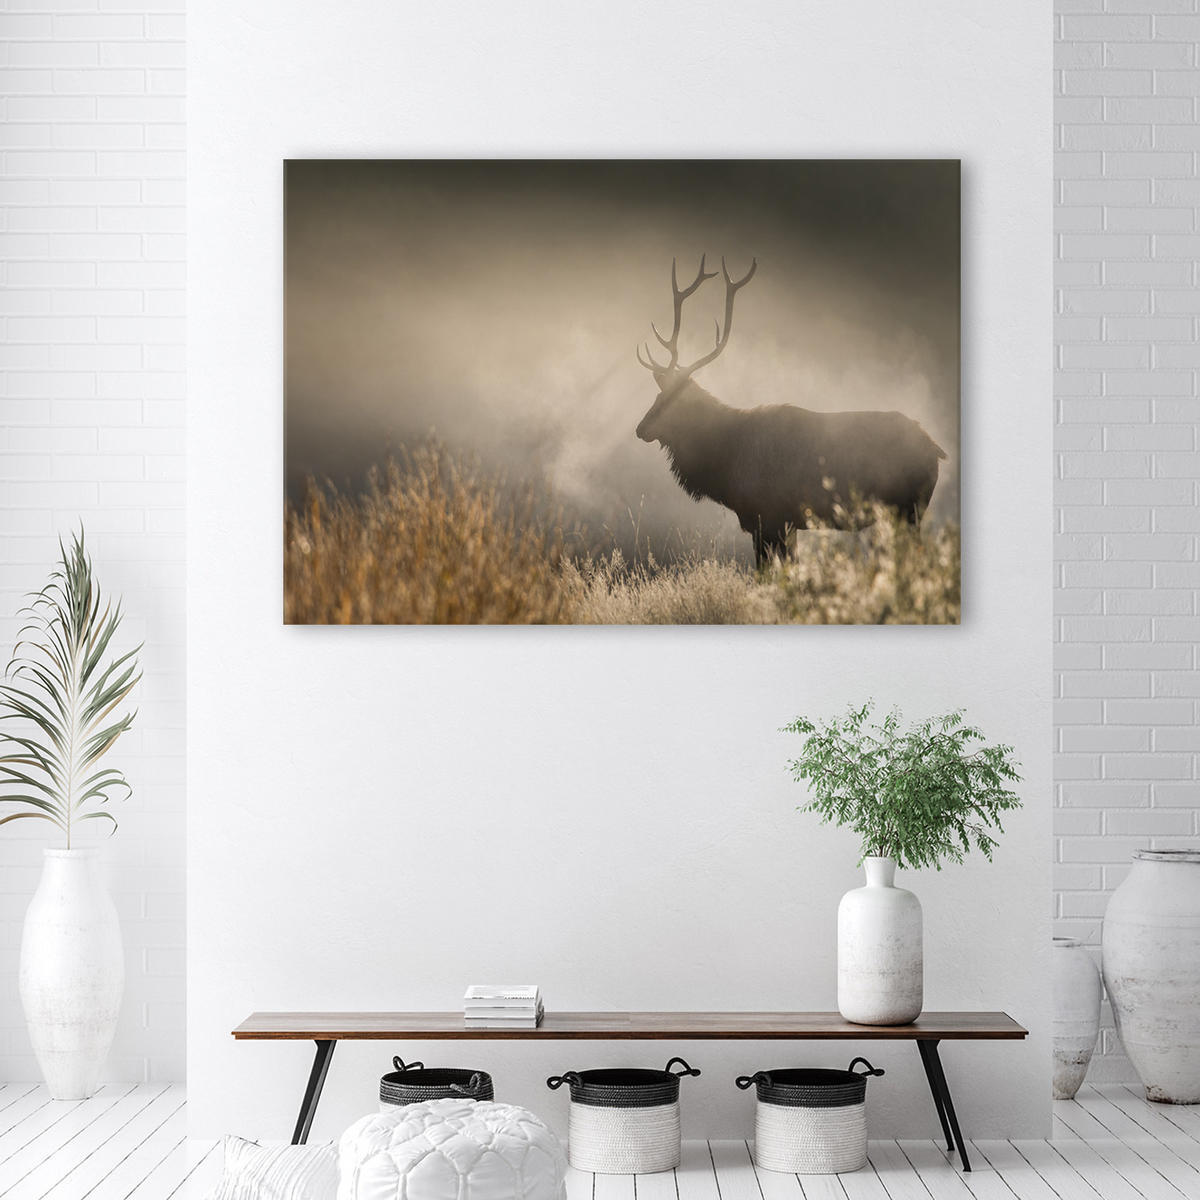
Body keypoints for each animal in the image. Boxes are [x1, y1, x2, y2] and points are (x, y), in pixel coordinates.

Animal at [635, 255, 948, 568]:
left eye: (674, 401)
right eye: (658, 395)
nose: (640, 429)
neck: (726, 460)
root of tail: (935, 448)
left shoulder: (768, 516)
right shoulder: (785, 522)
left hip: (908, 509)